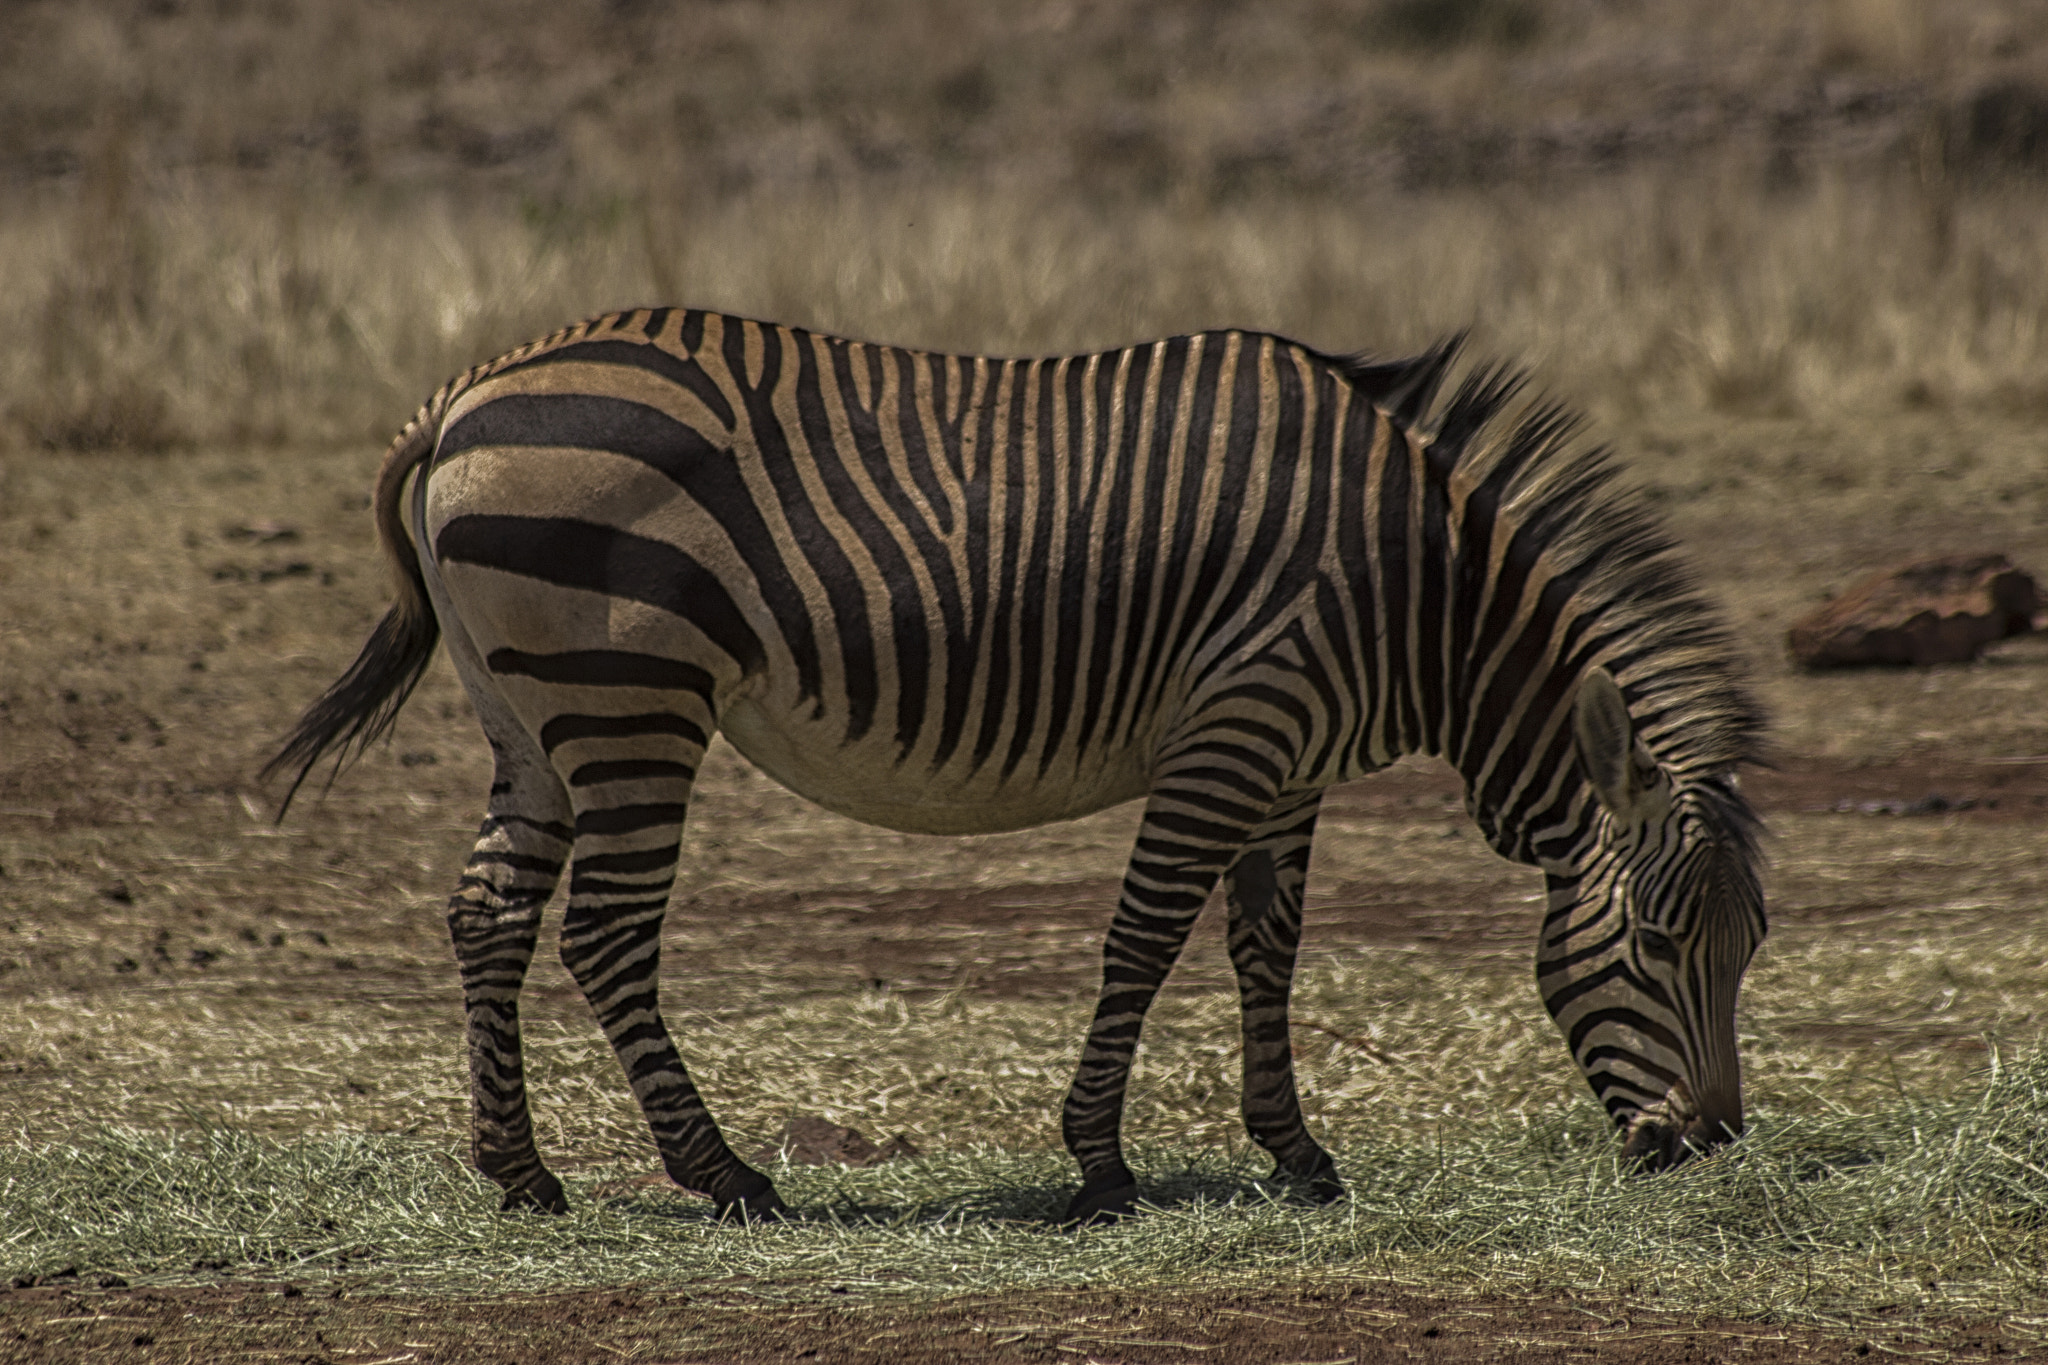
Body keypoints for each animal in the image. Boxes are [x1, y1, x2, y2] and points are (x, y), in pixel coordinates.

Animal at [267, 307, 1767, 1225]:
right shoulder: (1235, 727)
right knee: (606, 935)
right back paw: (727, 1174)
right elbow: (1144, 941)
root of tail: (463, 393)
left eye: (1748, 951)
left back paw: (520, 1173)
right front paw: (1100, 1166)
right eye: (1654, 943)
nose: (1708, 1147)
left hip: (528, 714)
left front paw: (1294, 1152)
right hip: (629, 697)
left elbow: (1264, 952)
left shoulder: (1289, 767)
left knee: (488, 917)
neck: (1427, 598)